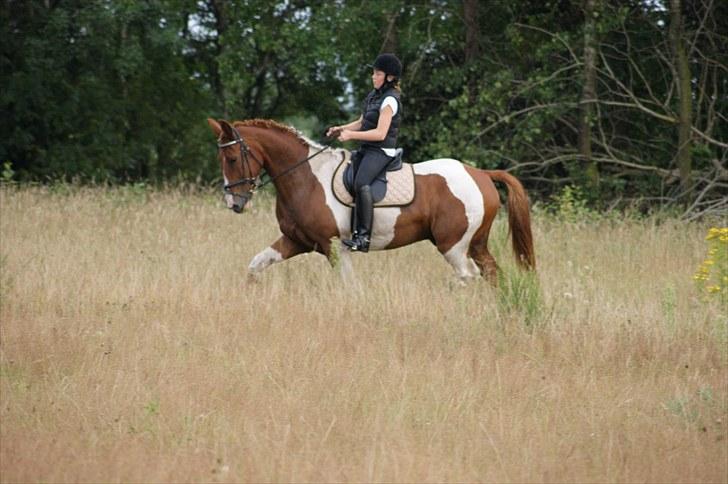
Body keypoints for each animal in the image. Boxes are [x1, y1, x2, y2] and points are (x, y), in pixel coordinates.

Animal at [206, 118, 536, 284]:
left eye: (232, 158)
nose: (234, 203)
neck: (306, 177)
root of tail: (480, 173)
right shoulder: (296, 240)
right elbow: (255, 265)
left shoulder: (334, 246)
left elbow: (348, 286)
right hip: (476, 243)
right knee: (493, 275)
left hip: (453, 245)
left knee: (468, 277)